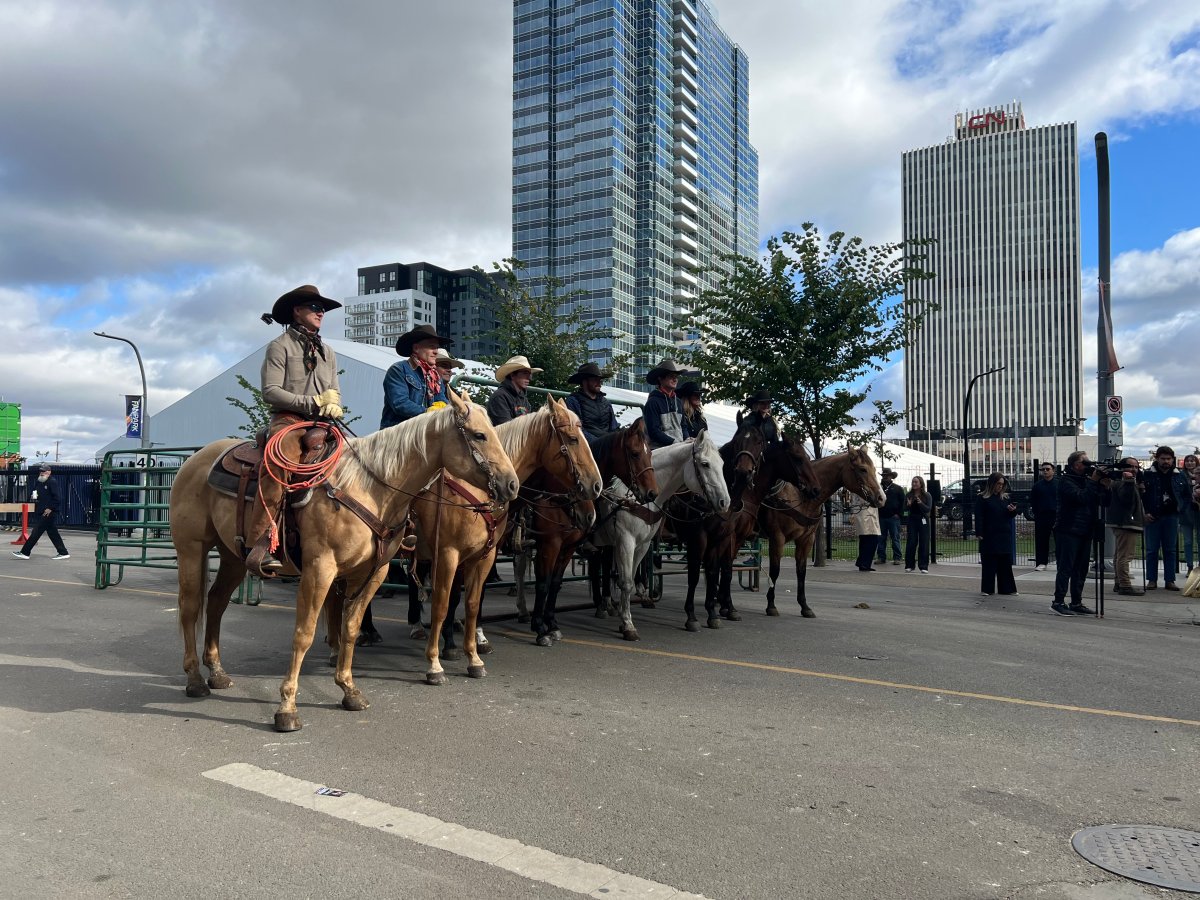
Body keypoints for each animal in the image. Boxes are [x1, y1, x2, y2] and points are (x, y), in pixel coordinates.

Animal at [171, 388, 518, 734]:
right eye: (479, 435)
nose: (511, 484)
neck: (370, 489)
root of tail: (195, 460)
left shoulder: (372, 572)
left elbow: (350, 627)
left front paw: (349, 689)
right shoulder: (320, 570)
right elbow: (304, 633)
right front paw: (287, 707)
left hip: (233, 556)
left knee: (216, 602)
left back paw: (216, 672)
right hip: (191, 548)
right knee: (191, 608)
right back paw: (195, 679)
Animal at [513, 420, 662, 643]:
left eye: (650, 453)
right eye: (635, 453)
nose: (652, 493)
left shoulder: (569, 546)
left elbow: (555, 583)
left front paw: (552, 625)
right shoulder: (550, 544)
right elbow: (543, 583)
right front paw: (540, 628)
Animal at [583, 434, 724, 643]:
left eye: (722, 464)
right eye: (705, 464)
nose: (725, 502)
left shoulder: (642, 545)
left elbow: (630, 577)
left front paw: (624, 617)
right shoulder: (626, 541)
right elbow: (626, 582)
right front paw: (628, 626)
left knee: (603, 566)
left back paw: (606, 604)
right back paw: (601, 606)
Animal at [763, 451, 888, 619]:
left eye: (875, 469)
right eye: (862, 469)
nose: (882, 498)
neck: (800, 495)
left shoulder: (806, 539)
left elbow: (801, 572)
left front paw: (804, 606)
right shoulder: (777, 537)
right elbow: (774, 572)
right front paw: (771, 606)